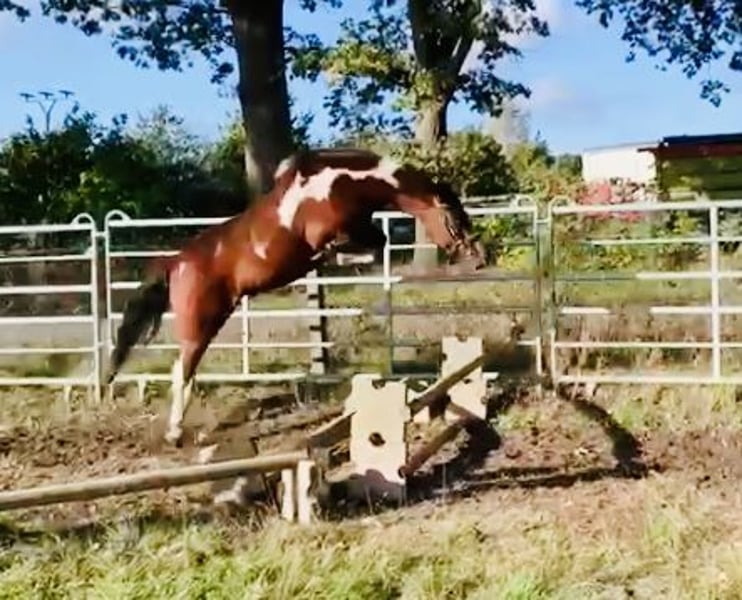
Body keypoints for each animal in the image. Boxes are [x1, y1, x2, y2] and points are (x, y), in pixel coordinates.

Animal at [105, 147, 486, 446]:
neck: (342, 182)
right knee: (180, 371)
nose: (479, 259)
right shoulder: (332, 232)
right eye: (453, 219)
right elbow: (355, 247)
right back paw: (175, 433)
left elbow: (377, 244)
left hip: (209, 321)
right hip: (200, 323)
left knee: (186, 371)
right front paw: (334, 259)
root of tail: (176, 262)